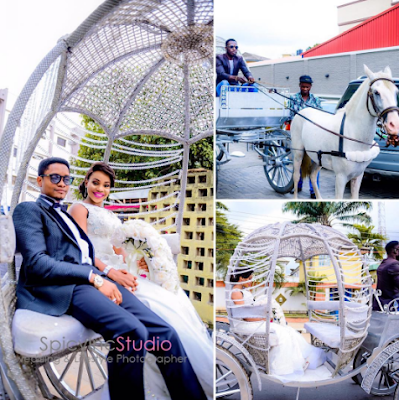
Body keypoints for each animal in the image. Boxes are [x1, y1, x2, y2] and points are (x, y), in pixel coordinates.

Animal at [290, 65, 399, 200]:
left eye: (395, 92)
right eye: (376, 92)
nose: (394, 125)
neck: (352, 132)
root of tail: (301, 111)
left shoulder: (358, 176)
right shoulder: (340, 178)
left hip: (317, 157)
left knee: (313, 176)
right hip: (298, 154)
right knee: (296, 176)